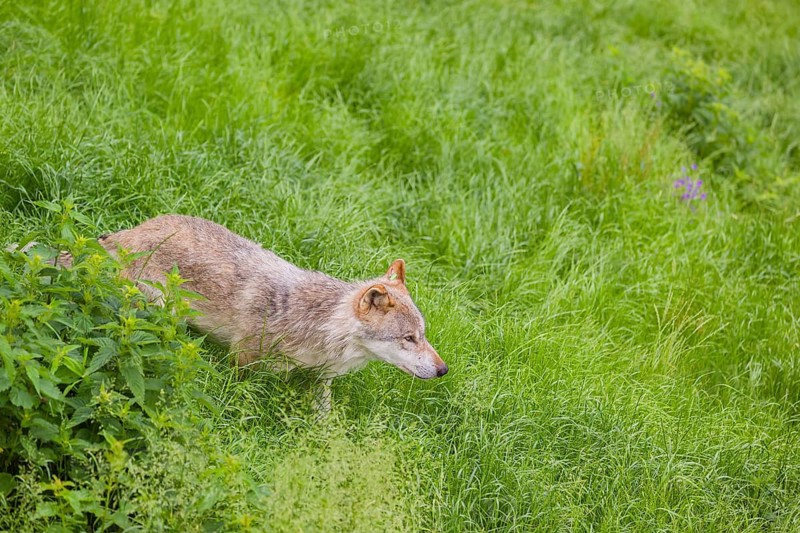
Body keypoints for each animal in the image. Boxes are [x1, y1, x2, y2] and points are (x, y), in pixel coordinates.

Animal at [58, 215, 447, 411]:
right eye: (409, 338)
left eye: (424, 335)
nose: (444, 370)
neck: (316, 327)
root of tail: (123, 236)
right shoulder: (242, 361)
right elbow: (237, 398)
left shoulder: (320, 380)